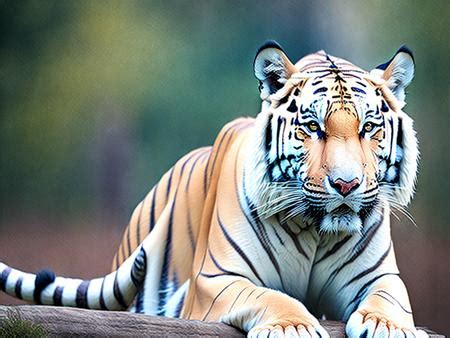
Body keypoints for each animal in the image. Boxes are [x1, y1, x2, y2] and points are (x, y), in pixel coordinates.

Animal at [0, 41, 428, 336]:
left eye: (369, 127)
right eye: (312, 127)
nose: (346, 184)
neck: (316, 231)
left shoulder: (377, 276)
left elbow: (390, 298)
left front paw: (389, 327)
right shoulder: (217, 280)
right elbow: (270, 295)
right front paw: (294, 326)